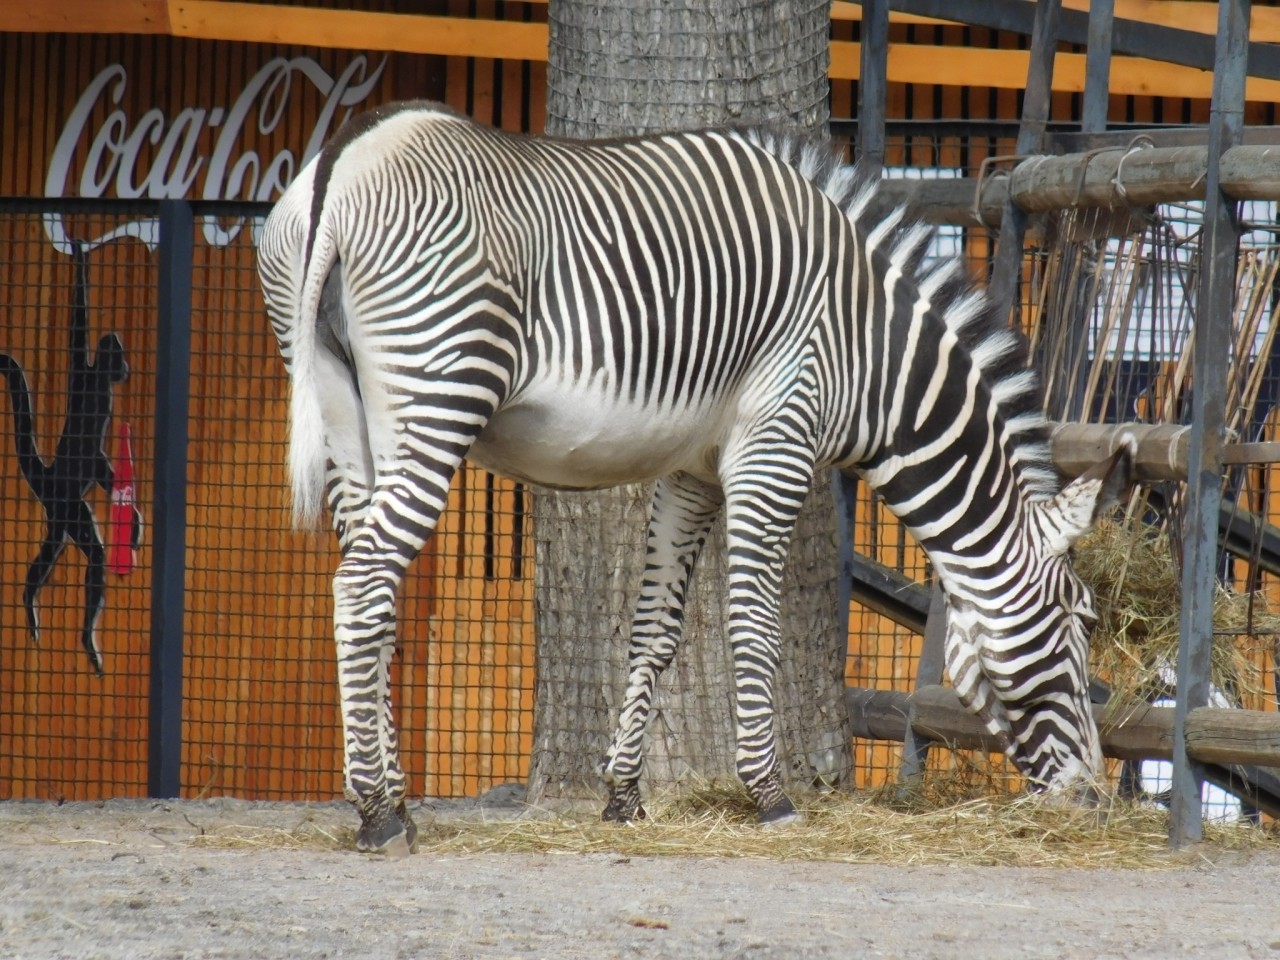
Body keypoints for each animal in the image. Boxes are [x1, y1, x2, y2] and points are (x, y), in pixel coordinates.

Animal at [257, 103, 1131, 855]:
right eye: (1081, 620)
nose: (1093, 800)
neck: (872, 355)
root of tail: (343, 159)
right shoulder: (776, 444)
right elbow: (753, 626)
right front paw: (770, 796)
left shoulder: (694, 472)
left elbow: (657, 630)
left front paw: (622, 797)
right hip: (440, 389)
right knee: (362, 585)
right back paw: (376, 814)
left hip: (345, 406)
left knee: (375, 589)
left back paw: (397, 800)